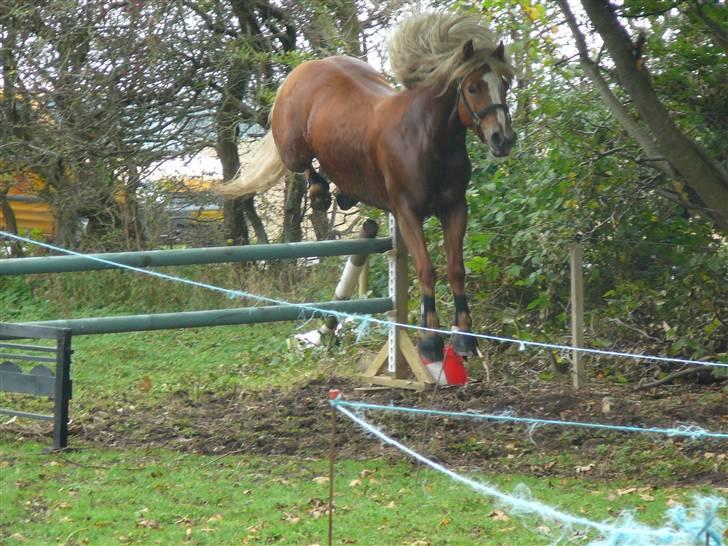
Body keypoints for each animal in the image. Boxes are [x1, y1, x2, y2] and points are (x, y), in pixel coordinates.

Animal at [219, 12, 516, 360]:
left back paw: (344, 195)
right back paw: (321, 193)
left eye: (505, 84)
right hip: (292, 147)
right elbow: (426, 270)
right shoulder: (407, 213)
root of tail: (305, 68)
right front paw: (430, 340)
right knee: (306, 168)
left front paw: (465, 338)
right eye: (472, 87)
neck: (428, 139)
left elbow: (456, 269)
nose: (503, 139)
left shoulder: (455, 208)